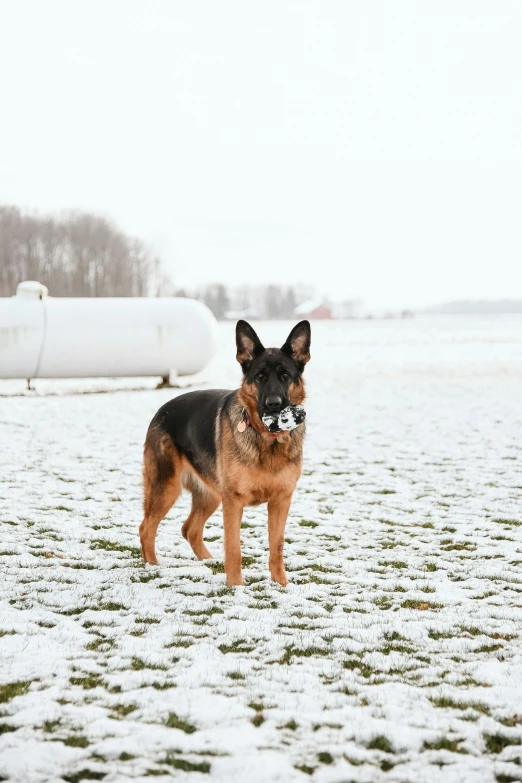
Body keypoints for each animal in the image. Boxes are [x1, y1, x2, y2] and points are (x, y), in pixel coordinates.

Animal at [138, 320, 308, 588]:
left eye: (285, 376)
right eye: (260, 377)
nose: (273, 405)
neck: (267, 441)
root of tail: (162, 410)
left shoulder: (281, 501)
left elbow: (277, 546)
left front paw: (281, 585)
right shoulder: (234, 502)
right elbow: (233, 547)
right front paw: (236, 586)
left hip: (210, 496)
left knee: (189, 529)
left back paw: (207, 561)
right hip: (166, 488)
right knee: (146, 528)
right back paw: (153, 566)